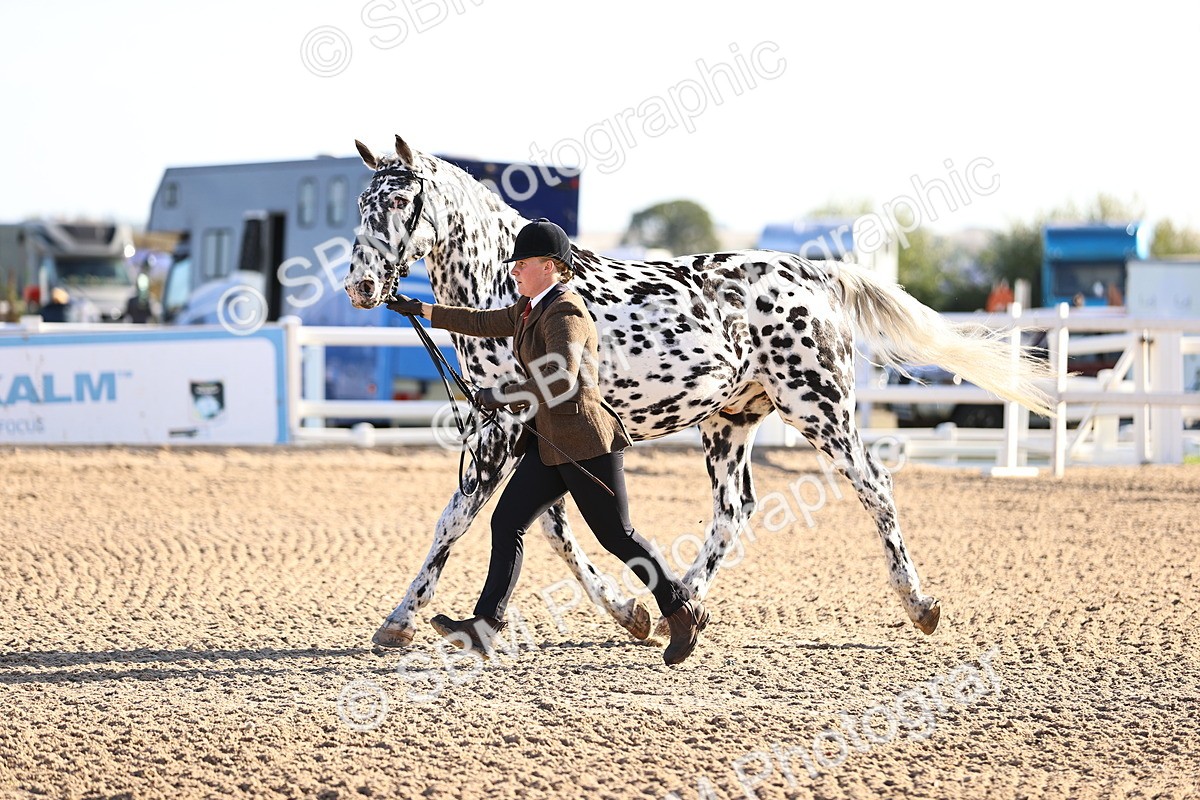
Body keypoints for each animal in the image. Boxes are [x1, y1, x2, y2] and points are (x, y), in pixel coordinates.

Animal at [345, 135, 1053, 648]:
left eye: (398, 204)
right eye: (361, 206)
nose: (358, 286)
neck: (502, 288)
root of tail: (818, 276)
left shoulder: (506, 433)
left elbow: (460, 519)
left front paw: (400, 620)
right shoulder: (529, 439)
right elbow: (552, 528)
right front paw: (630, 612)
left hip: (820, 409)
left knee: (874, 487)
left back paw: (919, 604)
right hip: (730, 422)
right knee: (735, 508)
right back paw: (683, 603)